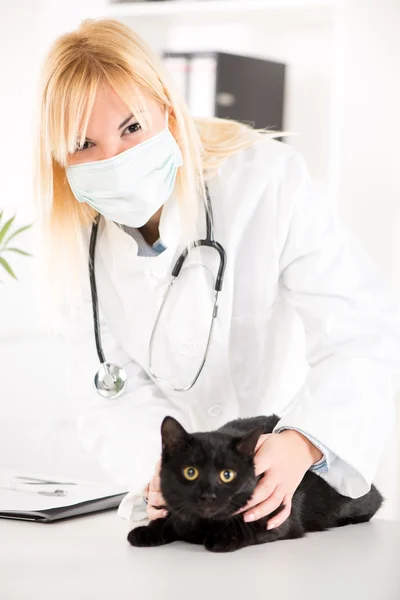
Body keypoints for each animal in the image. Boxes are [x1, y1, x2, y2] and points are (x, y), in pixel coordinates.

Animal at [126, 414, 382, 552]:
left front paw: (225, 537)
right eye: (191, 472)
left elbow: (252, 526)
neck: (203, 524)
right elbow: (170, 517)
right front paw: (148, 530)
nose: (208, 495)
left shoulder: (280, 517)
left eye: (227, 475)